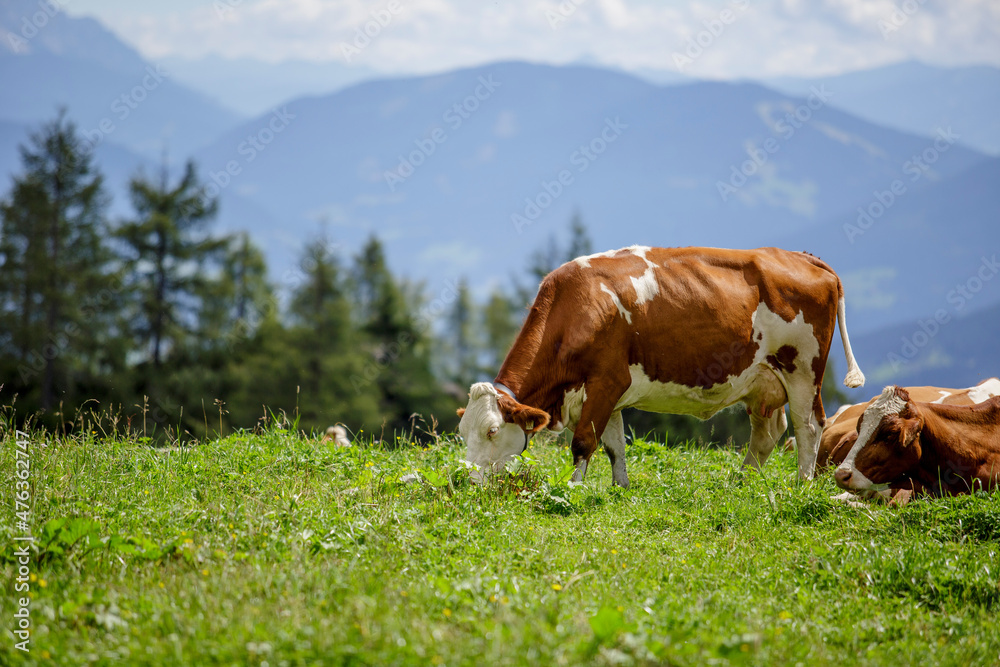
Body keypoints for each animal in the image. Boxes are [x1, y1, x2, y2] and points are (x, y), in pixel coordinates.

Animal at [457, 246, 865, 487]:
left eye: (492, 431)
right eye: (462, 433)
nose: (467, 480)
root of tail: (802, 256)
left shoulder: (606, 380)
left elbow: (584, 441)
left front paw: (573, 490)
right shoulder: (606, 392)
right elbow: (614, 445)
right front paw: (619, 488)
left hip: (802, 370)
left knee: (808, 427)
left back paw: (802, 483)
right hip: (762, 380)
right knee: (767, 433)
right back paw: (742, 481)